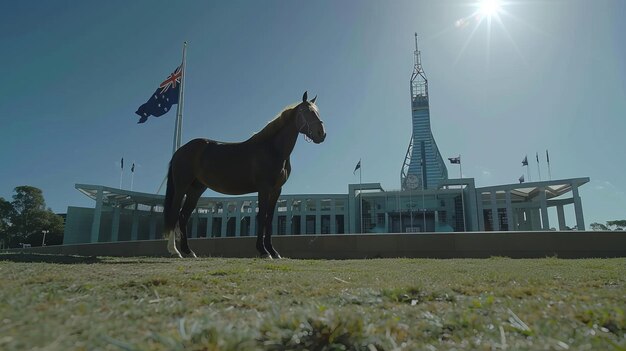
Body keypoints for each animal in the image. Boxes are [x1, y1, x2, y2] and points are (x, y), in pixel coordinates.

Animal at [161, 92, 326, 260]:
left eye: (317, 111)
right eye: (307, 111)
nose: (321, 134)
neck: (272, 149)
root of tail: (181, 150)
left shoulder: (276, 190)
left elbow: (269, 219)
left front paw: (273, 251)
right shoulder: (264, 189)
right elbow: (262, 217)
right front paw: (263, 251)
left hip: (195, 190)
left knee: (183, 216)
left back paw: (189, 251)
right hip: (181, 187)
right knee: (174, 214)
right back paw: (174, 251)